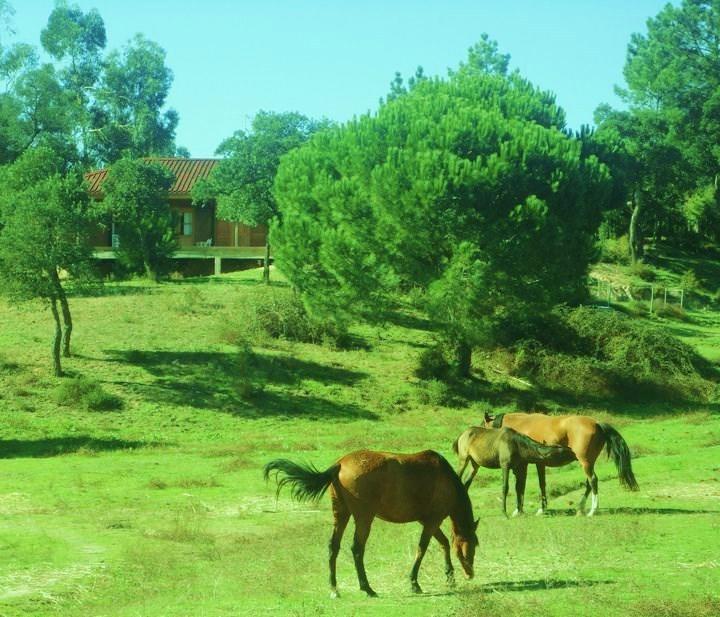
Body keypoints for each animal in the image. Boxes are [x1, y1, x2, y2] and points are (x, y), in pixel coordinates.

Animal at [262, 448, 478, 596]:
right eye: (474, 545)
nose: (471, 573)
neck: (446, 479)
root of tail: (340, 464)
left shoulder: (427, 521)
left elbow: (443, 543)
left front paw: (450, 576)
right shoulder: (433, 519)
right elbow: (422, 548)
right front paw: (414, 583)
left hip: (341, 514)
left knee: (333, 546)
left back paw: (334, 588)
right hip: (364, 518)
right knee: (357, 549)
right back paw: (367, 588)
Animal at [484, 412, 640, 516]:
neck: (522, 426)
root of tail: (596, 423)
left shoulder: (526, 465)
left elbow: (523, 486)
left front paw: (529, 509)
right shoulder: (537, 464)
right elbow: (535, 485)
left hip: (585, 462)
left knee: (593, 480)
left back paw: (592, 510)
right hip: (589, 462)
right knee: (589, 483)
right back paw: (580, 507)